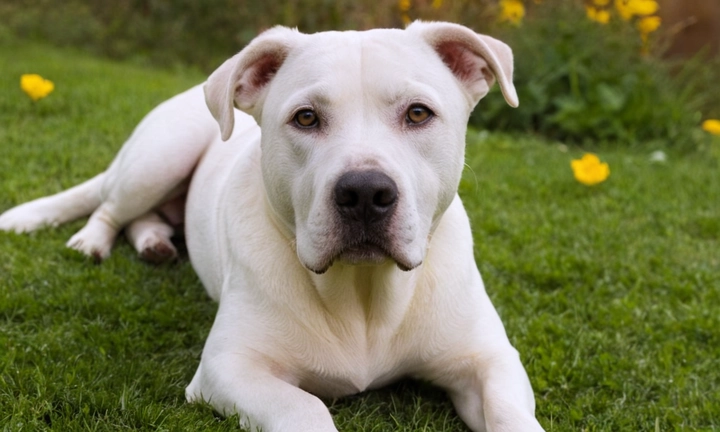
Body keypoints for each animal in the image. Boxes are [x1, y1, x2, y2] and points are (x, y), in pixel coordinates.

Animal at [0, 22, 544, 432]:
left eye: (417, 113)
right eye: (305, 118)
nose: (365, 193)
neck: (363, 294)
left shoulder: (489, 361)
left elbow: (510, 415)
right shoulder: (229, 368)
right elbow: (306, 407)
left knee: (144, 218)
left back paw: (154, 242)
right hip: (161, 155)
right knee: (112, 208)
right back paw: (93, 241)